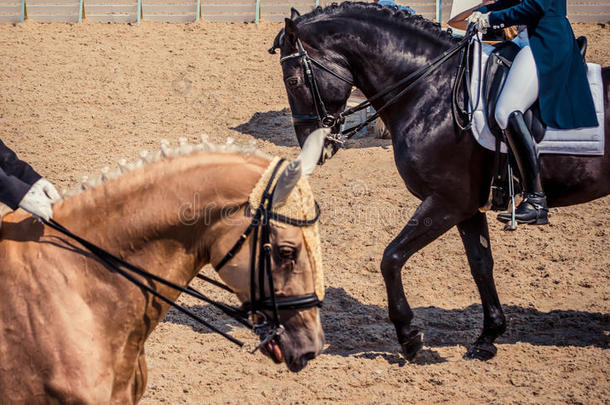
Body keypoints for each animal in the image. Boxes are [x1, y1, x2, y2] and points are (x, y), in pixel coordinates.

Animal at [270, 1, 608, 358]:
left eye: (293, 80)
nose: (312, 146)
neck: (433, 90)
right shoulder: (469, 206)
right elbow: (481, 264)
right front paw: (488, 336)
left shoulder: (447, 200)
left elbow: (391, 257)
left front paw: (408, 333)